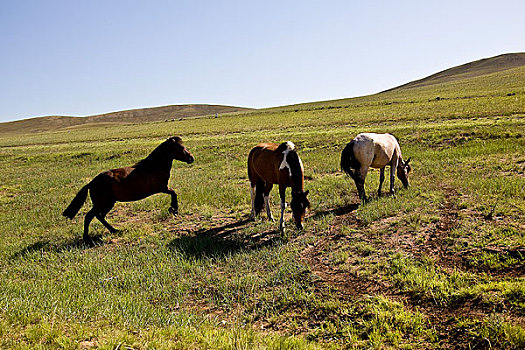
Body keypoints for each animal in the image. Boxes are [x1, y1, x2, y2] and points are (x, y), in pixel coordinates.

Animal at [61, 137, 192, 243]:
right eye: (181, 147)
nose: (191, 158)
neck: (154, 166)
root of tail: (91, 183)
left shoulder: (162, 188)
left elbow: (173, 193)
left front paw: (173, 209)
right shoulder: (162, 188)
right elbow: (173, 193)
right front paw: (174, 209)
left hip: (108, 203)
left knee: (99, 216)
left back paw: (114, 230)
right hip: (103, 203)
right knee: (89, 216)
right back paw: (87, 238)